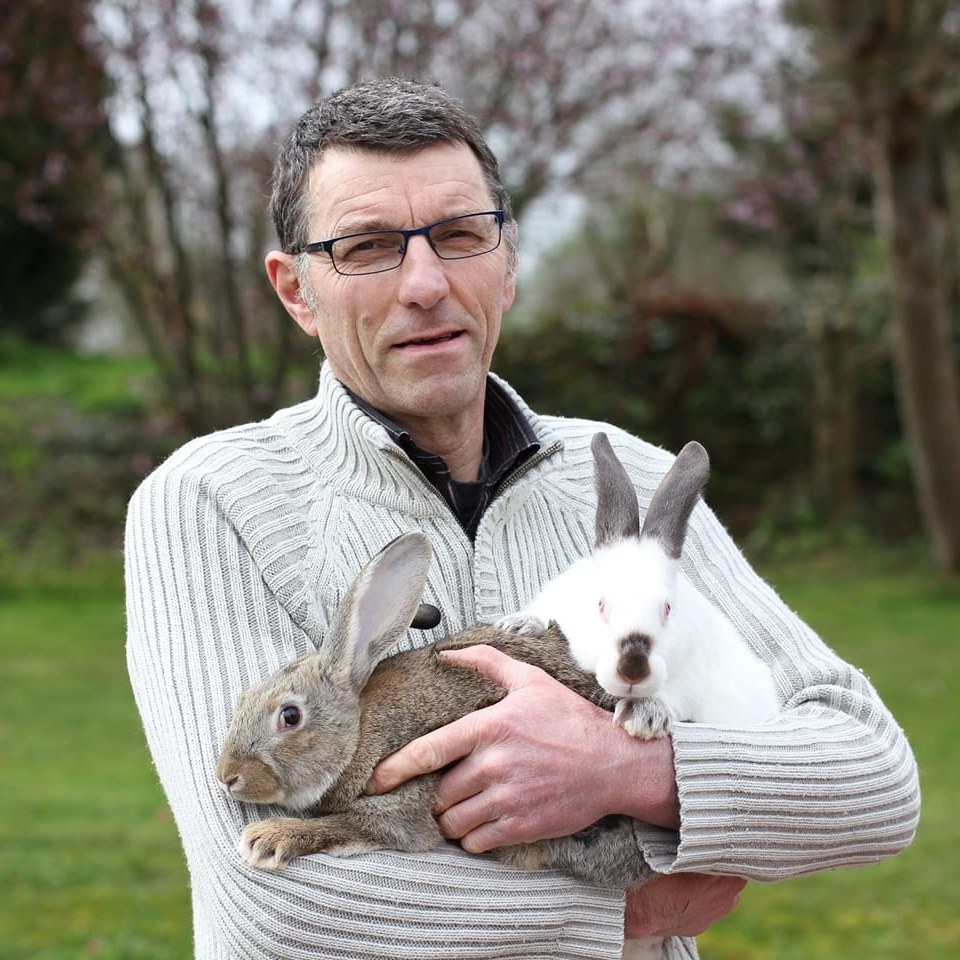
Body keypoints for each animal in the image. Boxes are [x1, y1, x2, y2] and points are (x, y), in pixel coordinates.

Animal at [502, 436, 780, 744]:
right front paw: (519, 625)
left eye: (667, 609)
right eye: (601, 604)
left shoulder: (691, 675)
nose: (633, 667)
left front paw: (644, 716)